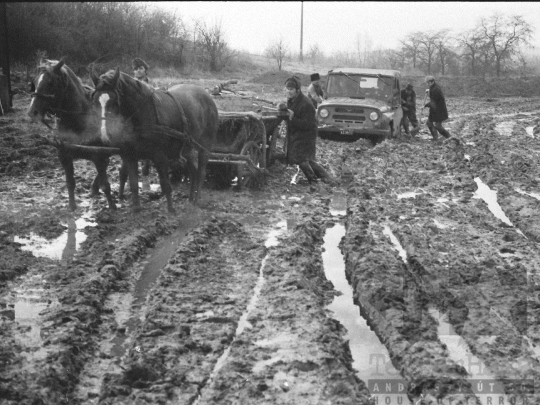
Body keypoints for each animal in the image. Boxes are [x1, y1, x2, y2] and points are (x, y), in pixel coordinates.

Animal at [26, 58, 117, 210]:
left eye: (51, 82)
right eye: (35, 81)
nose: (33, 112)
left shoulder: (98, 155)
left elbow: (106, 184)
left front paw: (112, 206)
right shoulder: (64, 155)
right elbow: (70, 182)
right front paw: (72, 206)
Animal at [91, 67, 219, 211]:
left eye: (113, 102)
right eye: (94, 101)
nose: (104, 135)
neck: (143, 113)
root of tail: (207, 95)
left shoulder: (160, 156)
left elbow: (166, 185)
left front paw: (171, 210)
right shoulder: (130, 156)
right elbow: (134, 184)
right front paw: (136, 209)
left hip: (205, 146)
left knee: (201, 172)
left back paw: (196, 199)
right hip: (188, 148)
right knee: (193, 171)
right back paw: (191, 199)